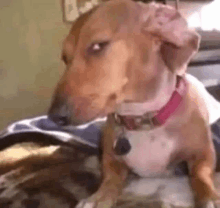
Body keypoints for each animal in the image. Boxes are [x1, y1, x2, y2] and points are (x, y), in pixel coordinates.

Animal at [48, 0, 218, 207]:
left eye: (97, 46)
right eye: (65, 58)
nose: (54, 116)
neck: (143, 119)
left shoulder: (204, 153)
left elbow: (201, 174)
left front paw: (208, 196)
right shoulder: (111, 160)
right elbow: (110, 179)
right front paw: (98, 197)